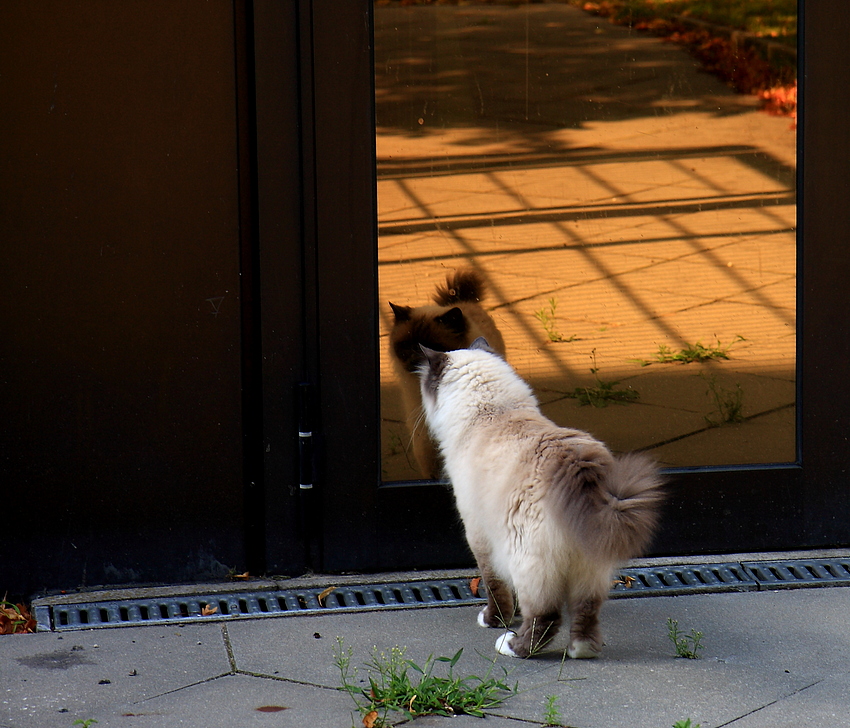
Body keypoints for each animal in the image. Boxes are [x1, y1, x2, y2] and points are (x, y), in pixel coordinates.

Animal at [418, 340, 664, 660]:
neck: (492, 412)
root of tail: (578, 469)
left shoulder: (480, 535)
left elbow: (494, 586)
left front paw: (494, 620)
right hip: (590, 565)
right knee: (586, 614)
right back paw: (580, 650)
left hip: (528, 560)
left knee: (546, 617)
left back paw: (511, 646)